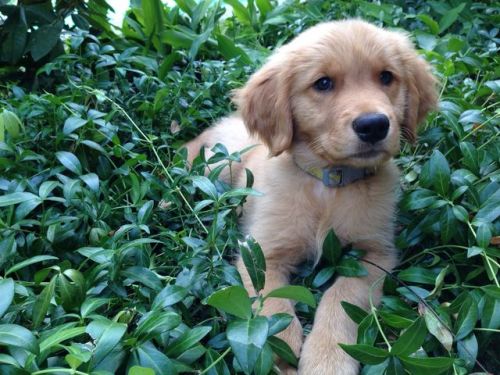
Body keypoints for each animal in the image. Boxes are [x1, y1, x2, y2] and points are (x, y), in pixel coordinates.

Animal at [186, 20, 436, 375]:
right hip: (217, 165)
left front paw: (327, 358)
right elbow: (272, 299)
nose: (374, 125)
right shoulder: (261, 252)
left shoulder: (375, 254)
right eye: (323, 83)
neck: (329, 185)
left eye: (387, 77)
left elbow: (342, 295)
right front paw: (281, 348)